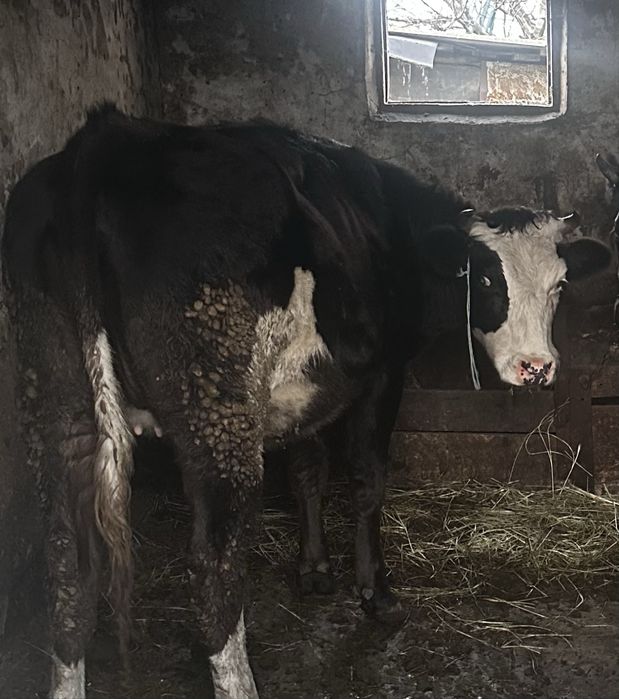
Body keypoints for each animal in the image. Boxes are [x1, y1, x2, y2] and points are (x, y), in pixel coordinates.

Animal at [2, 105, 610, 699]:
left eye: (559, 284)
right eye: (484, 279)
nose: (536, 366)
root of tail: (108, 139)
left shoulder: (308, 388)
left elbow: (307, 471)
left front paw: (313, 568)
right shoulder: (382, 375)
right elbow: (366, 480)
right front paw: (376, 594)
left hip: (52, 399)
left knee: (66, 566)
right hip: (217, 409)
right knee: (214, 569)